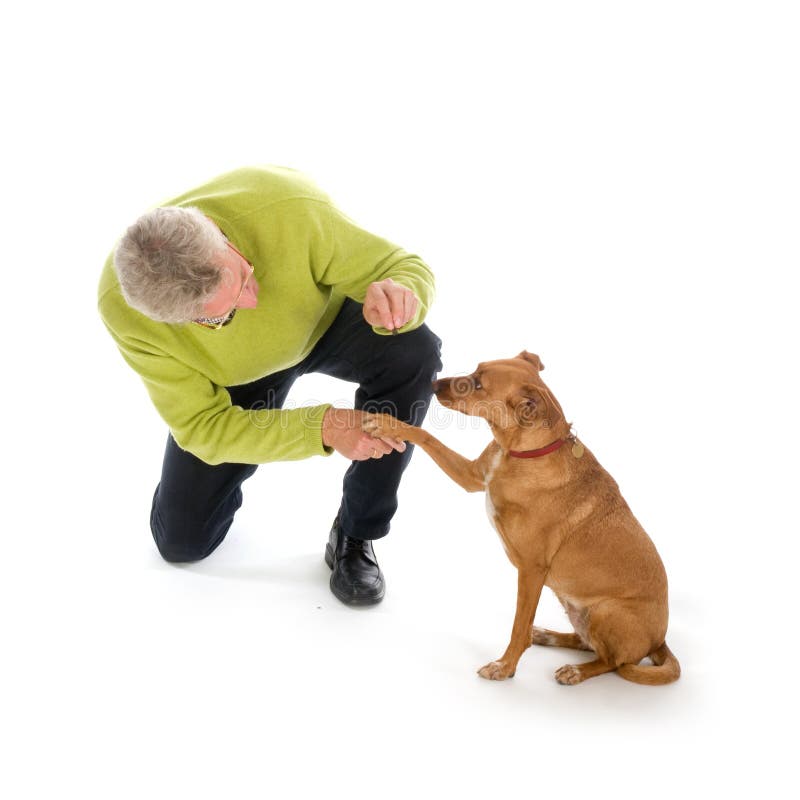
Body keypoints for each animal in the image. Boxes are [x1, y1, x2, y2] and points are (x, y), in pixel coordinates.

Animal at [364, 354, 680, 684]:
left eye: (478, 384)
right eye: (476, 369)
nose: (434, 384)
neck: (524, 451)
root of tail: (660, 642)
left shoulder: (531, 570)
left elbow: (519, 627)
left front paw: (504, 667)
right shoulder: (472, 477)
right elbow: (428, 436)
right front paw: (389, 424)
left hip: (606, 611)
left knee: (611, 661)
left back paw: (575, 671)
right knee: (584, 642)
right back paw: (549, 636)